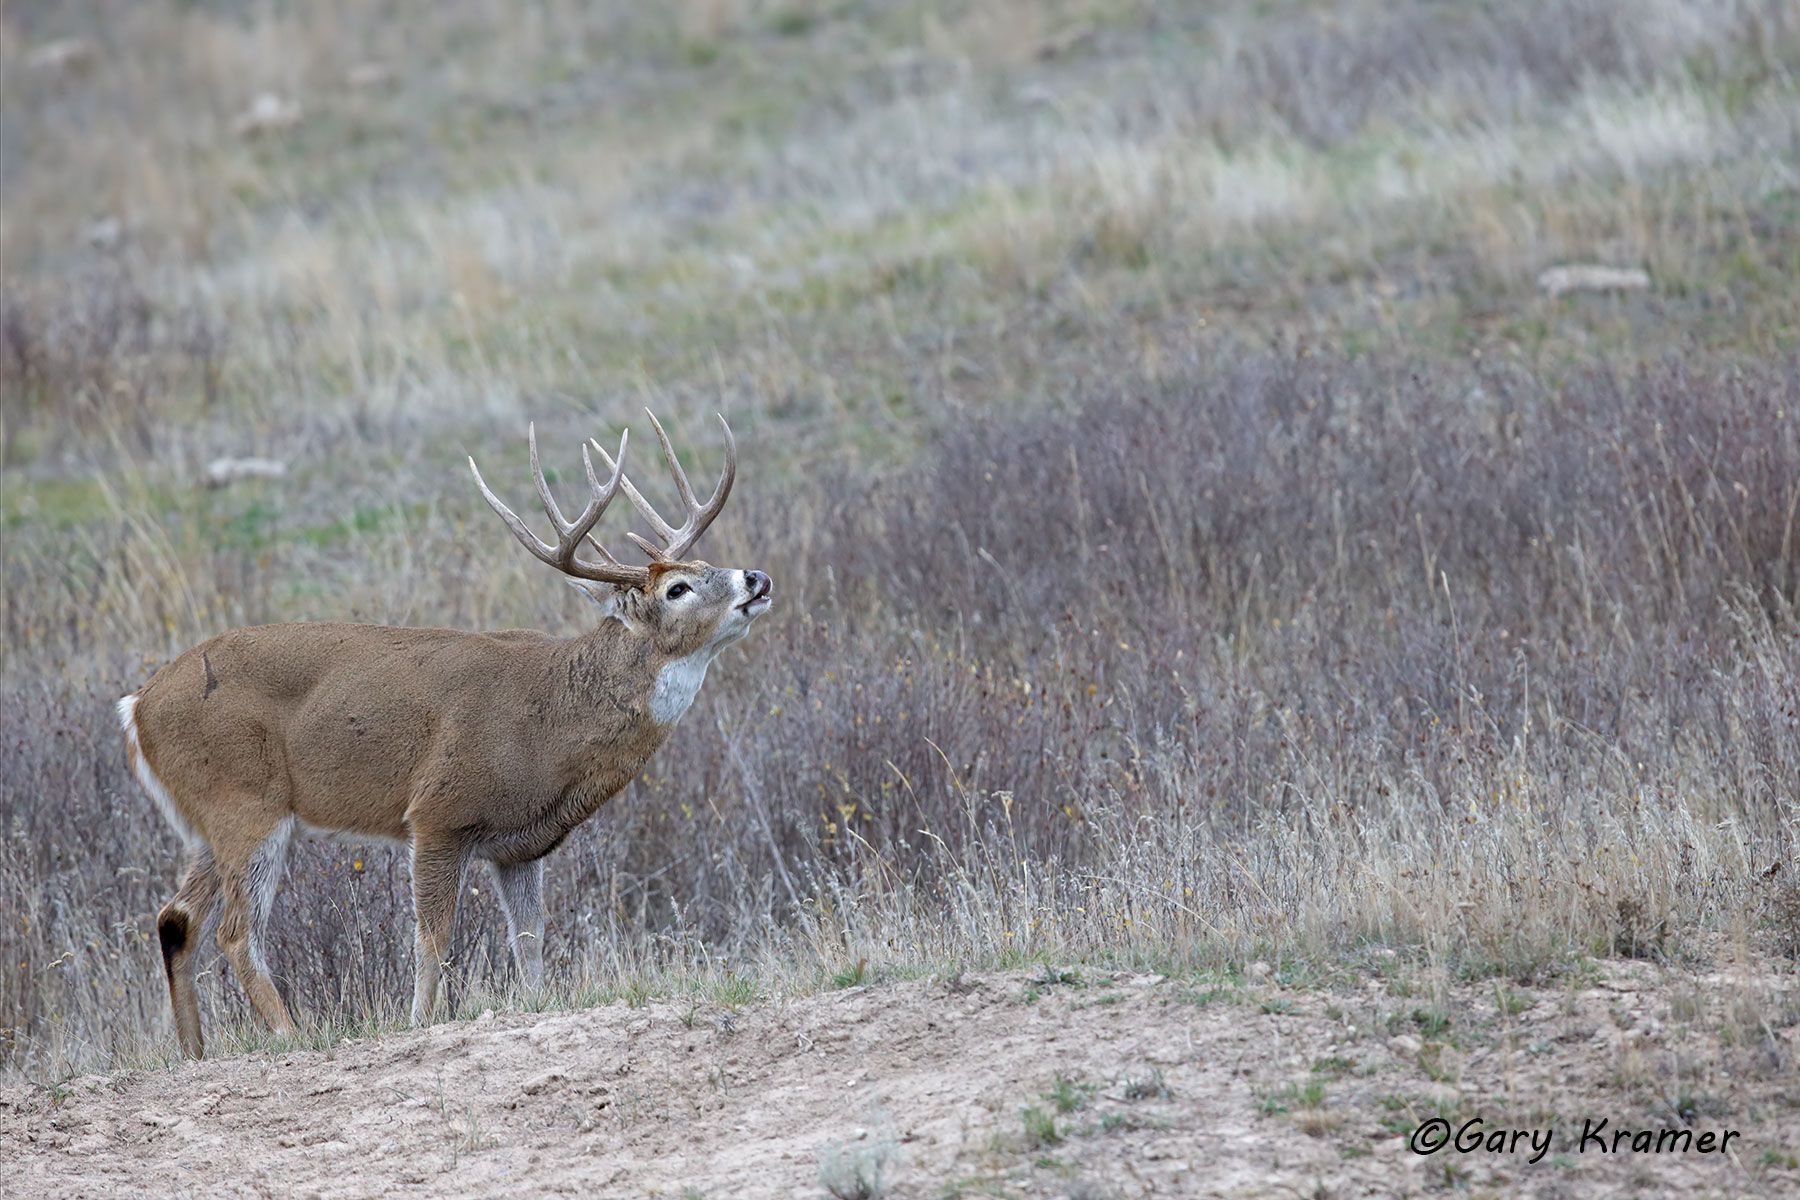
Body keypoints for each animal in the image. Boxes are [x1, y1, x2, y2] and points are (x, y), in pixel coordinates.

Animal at [116, 412, 771, 1058]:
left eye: (703, 566)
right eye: (677, 589)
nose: (757, 577)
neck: (553, 722)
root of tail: (137, 706)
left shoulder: (520, 847)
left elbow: (530, 941)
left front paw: (534, 1006)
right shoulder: (438, 813)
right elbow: (432, 940)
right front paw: (419, 1023)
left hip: (209, 819)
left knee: (176, 918)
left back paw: (194, 1053)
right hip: (246, 802)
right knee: (235, 930)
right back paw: (292, 1035)